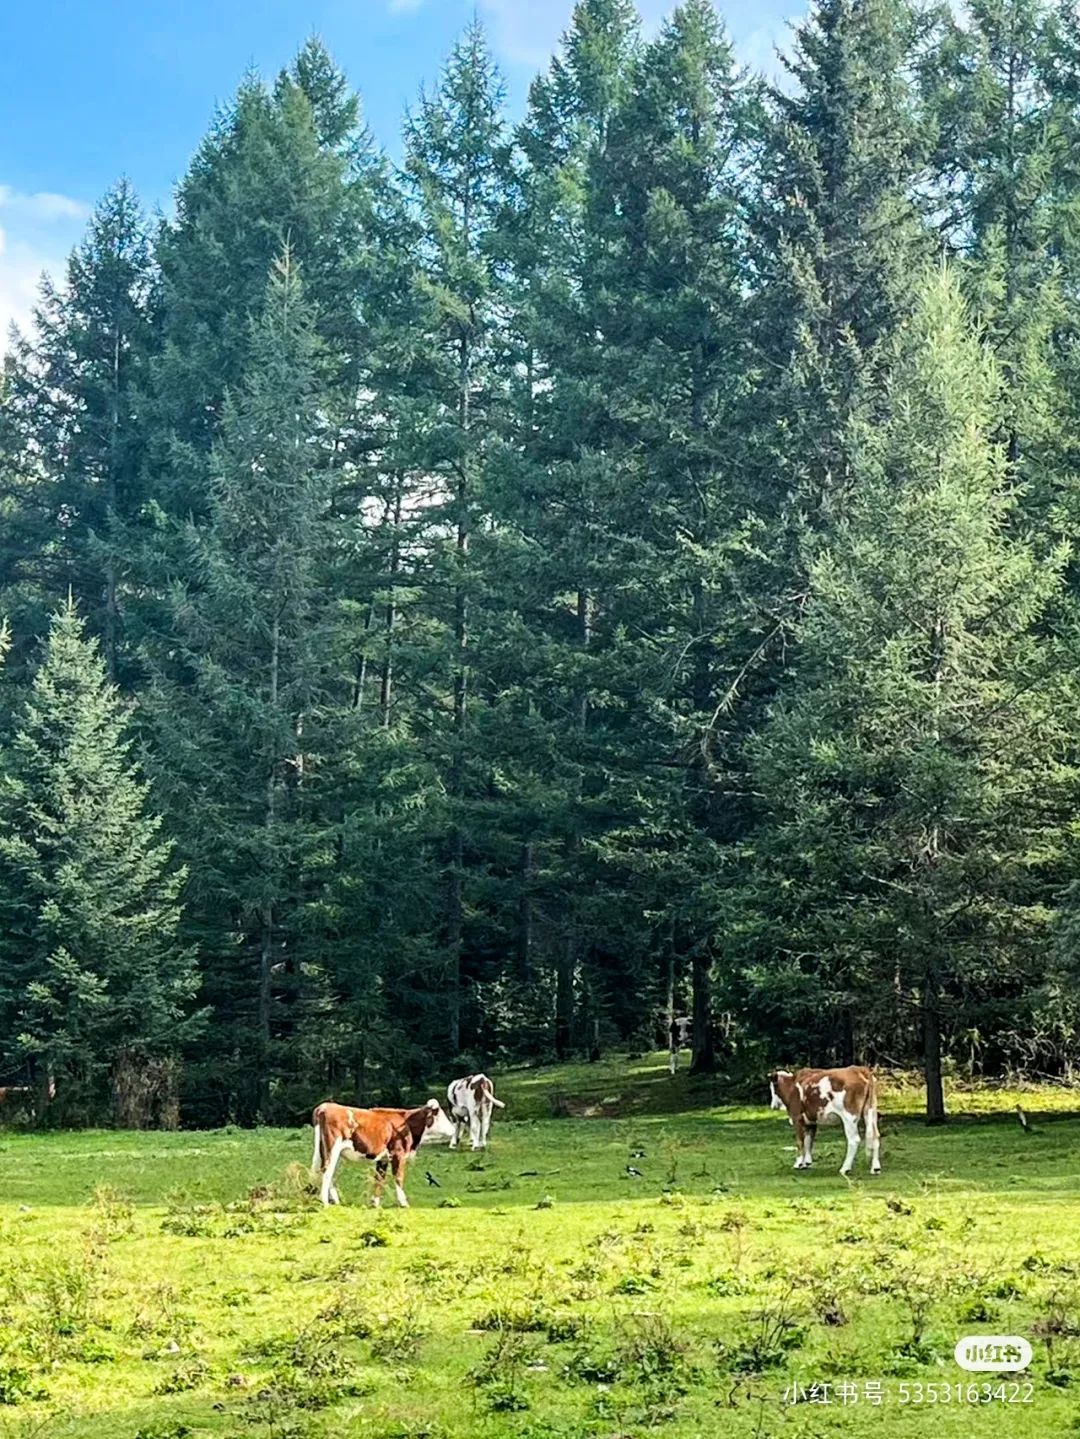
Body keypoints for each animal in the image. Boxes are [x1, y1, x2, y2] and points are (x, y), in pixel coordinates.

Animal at [310, 1093, 454, 1208]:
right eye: (441, 1116)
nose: (453, 1129)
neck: (407, 1124)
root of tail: (324, 1107)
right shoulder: (398, 1154)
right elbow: (398, 1177)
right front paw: (403, 1203)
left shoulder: (383, 1158)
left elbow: (379, 1178)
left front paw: (375, 1203)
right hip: (332, 1147)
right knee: (327, 1171)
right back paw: (325, 1202)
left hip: (327, 1151)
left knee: (326, 1171)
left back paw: (335, 1200)